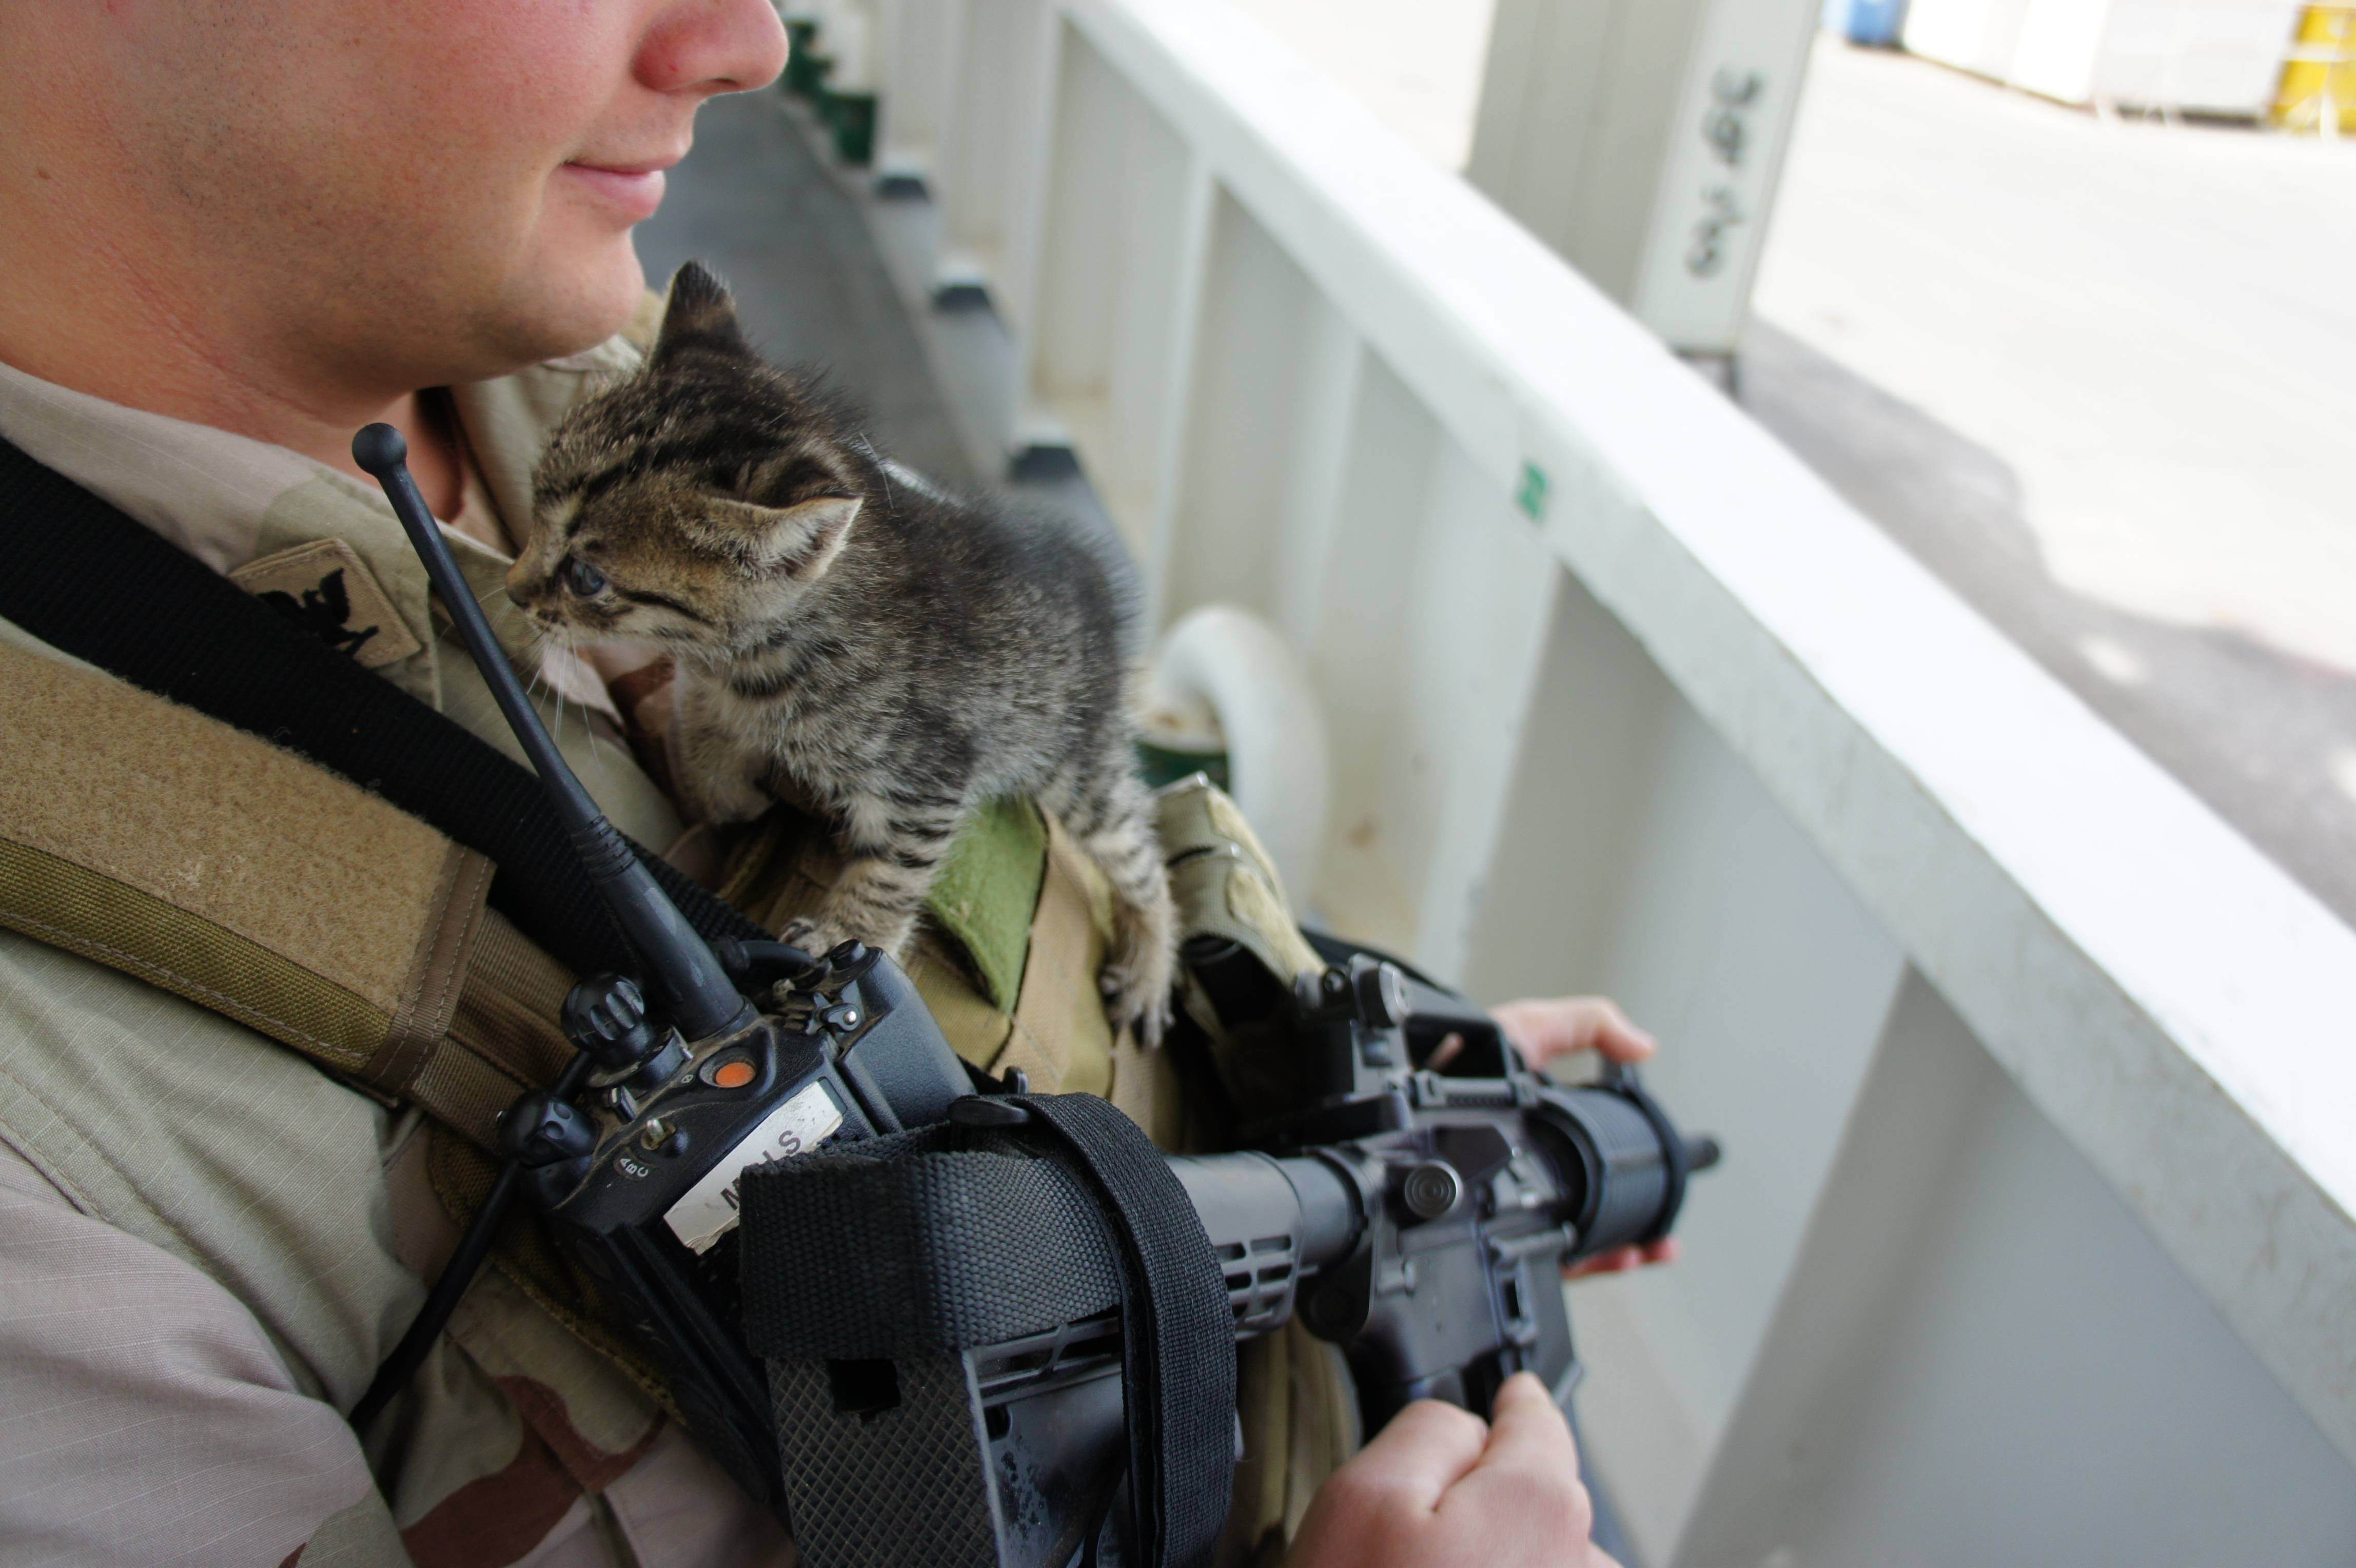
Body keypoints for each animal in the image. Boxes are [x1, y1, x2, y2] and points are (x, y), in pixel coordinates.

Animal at [514, 259, 1178, 1035]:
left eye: (586, 578)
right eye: (535, 499)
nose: (514, 590)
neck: (752, 656)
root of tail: (1095, 584)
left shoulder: (928, 776)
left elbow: (889, 874)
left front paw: (845, 936)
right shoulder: (715, 685)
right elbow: (702, 723)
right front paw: (723, 786)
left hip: (1075, 768)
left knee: (1141, 854)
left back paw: (1150, 961)